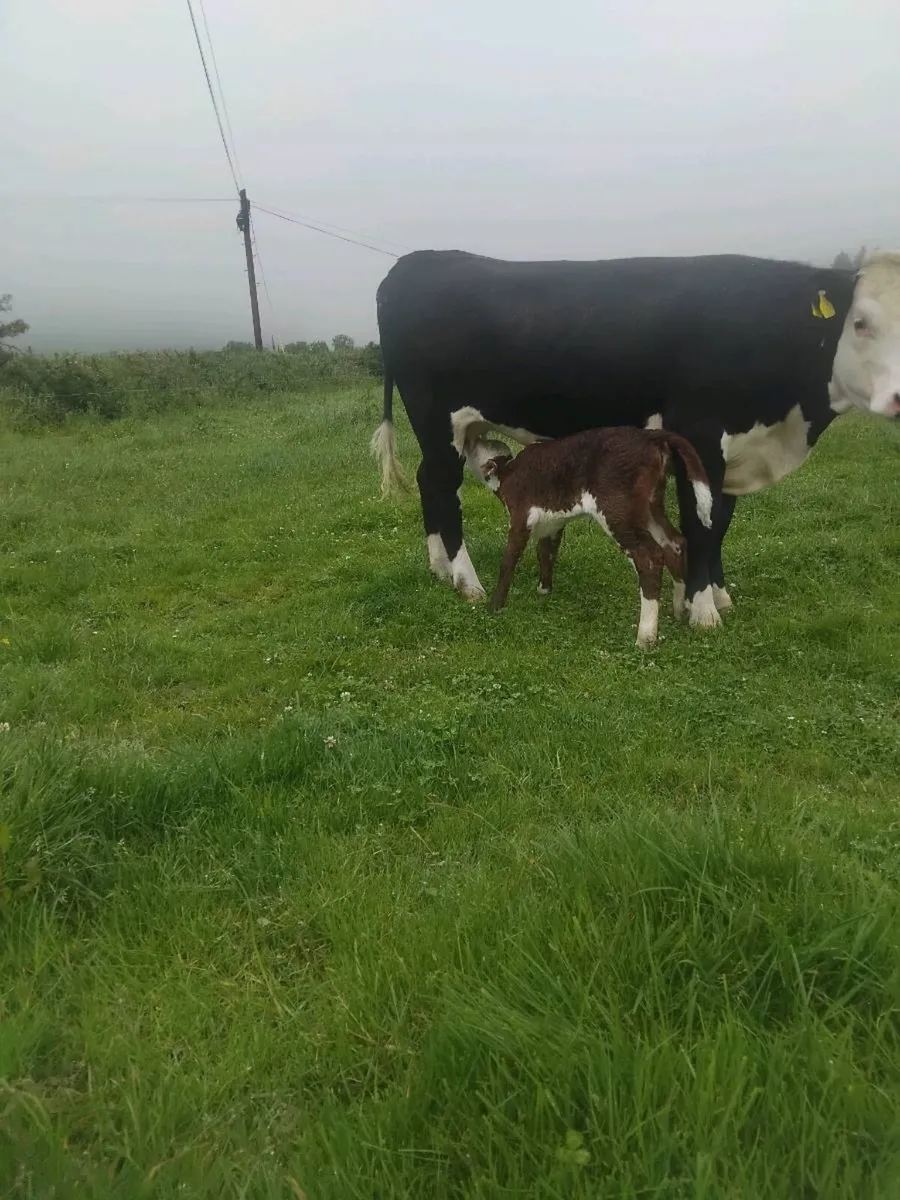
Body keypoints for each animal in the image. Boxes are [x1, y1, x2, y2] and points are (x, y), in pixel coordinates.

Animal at [371, 249, 900, 628]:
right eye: (860, 323)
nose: (898, 396)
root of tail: (411, 262)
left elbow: (720, 521)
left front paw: (715, 595)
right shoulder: (699, 434)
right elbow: (700, 524)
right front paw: (700, 610)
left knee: (428, 482)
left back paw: (440, 569)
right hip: (436, 420)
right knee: (443, 488)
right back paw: (467, 582)